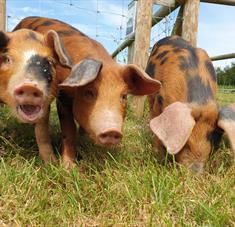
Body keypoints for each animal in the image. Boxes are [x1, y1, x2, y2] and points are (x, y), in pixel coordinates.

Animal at [14, 15, 162, 168]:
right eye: (89, 93)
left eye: (124, 96)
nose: (112, 131)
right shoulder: (63, 98)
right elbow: (69, 130)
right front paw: (69, 167)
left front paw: (85, 144)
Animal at [146, 36, 235, 172]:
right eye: (186, 142)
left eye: (213, 140)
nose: (194, 173)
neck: (200, 103)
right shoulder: (159, 100)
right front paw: (157, 157)